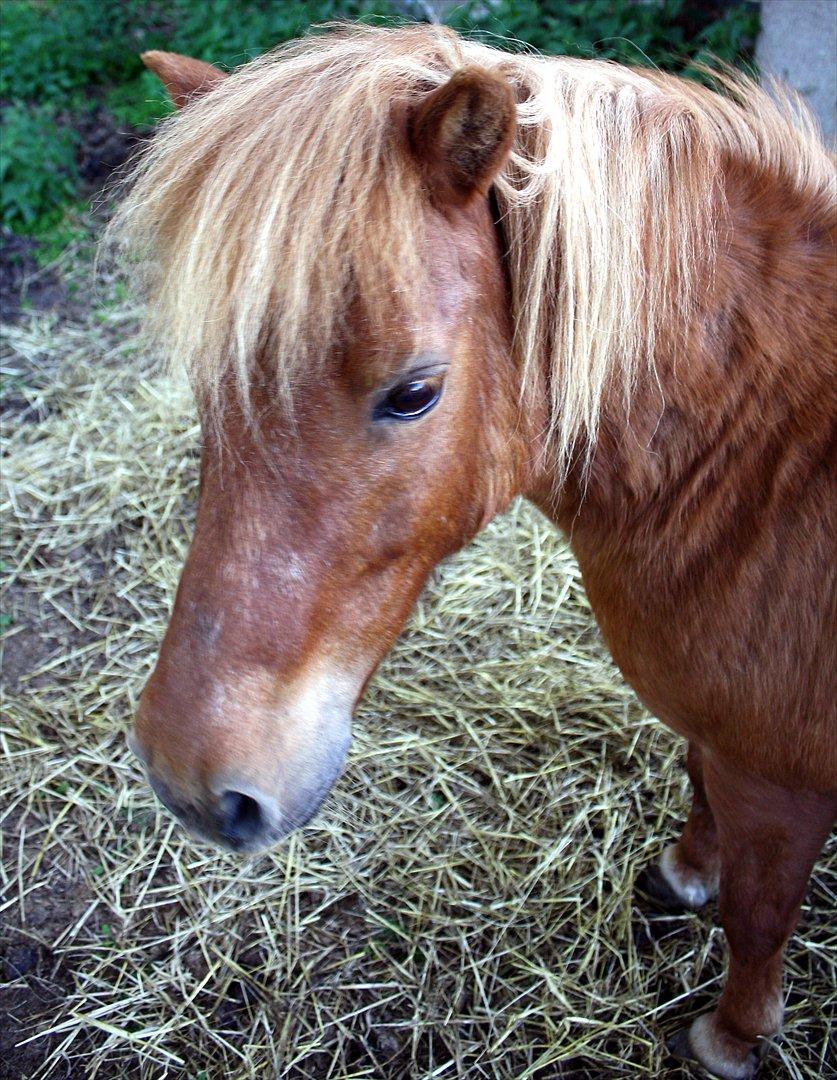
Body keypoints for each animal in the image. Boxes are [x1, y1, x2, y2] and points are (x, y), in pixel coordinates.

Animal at [117, 25, 837, 1080]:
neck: (765, 453)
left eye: (414, 392)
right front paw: (683, 873)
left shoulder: (781, 781)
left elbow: (757, 912)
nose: (186, 782)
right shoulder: (723, 740)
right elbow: (699, 790)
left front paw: (730, 1038)